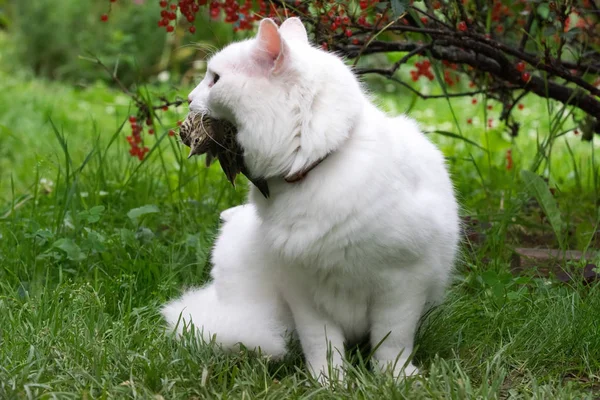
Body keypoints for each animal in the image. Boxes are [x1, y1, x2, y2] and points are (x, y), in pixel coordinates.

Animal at [159, 17, 460, 382]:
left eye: (214, 79)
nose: (189, 98)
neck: (317, 166)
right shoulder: (304, 294)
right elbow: (323, 344)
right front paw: (329, 381)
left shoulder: (402, 286)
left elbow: (391, 344)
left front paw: (396, 378)